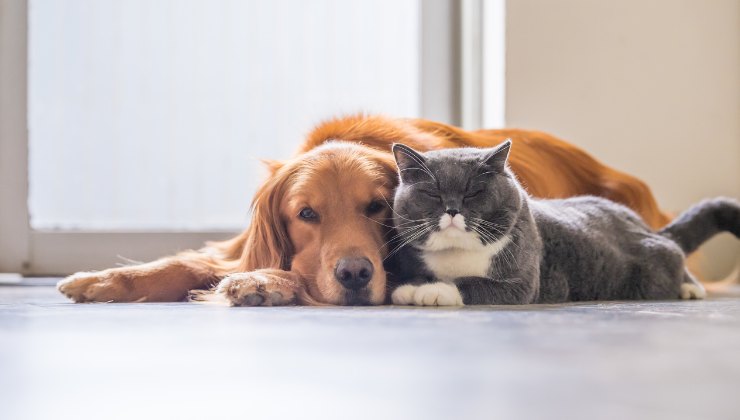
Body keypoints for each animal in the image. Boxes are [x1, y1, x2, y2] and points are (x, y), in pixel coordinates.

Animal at [57, 115, 672, 306]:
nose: (355, 275)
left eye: (377, 207)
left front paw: (264, 283)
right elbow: (189, 262)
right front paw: (101, 280)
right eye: (306, 215)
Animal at [390, 141, 736, 306]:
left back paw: (691, 289)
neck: (457, 255)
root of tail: (641, 224)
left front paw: (429, 292)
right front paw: (412, 287)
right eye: (432, 194)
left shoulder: (523, 283)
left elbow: (470, 283)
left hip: (652, 267)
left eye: (473, 192)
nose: (452, 210)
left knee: (674, 254)